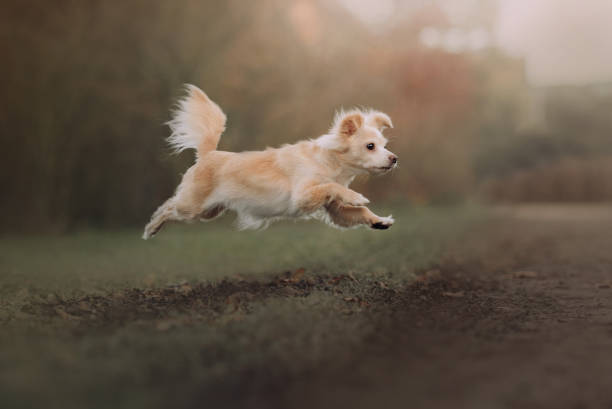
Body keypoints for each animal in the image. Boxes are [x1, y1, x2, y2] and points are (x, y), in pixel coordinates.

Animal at [145, 85, 400, 239]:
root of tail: (208, 154)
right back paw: (151, 228)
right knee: (168, 207)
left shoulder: (335, 209)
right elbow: (332, 187)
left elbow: (358, 212)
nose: (394, 159)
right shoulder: (303, 196)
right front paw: (356, 196)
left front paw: (379, 221)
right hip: (192, 207)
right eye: (370, 146)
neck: (330, 162)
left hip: (209, 211)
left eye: (384, 144)